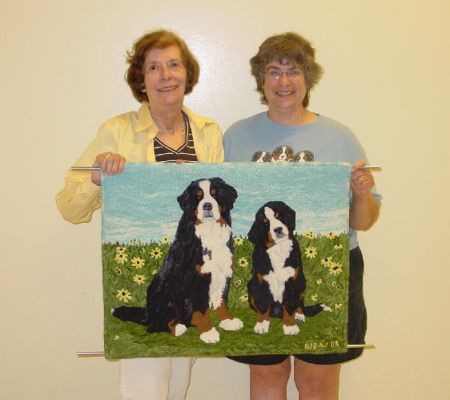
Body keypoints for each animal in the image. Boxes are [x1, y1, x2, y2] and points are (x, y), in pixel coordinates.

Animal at [114, 178, 244, 344]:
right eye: (198, 197)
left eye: (215, 194)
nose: (207, 205)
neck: (209, 231)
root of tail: (148, 313)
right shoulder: (197, 277)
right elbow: (201, 308)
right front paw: (208, 332)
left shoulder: (224, 271)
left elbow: (222, 301)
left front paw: (228, 321)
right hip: (164, 296)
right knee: (157, 324)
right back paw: (177, 327)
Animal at [246, 200, 330, 334]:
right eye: (266, 223)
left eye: (279, 216)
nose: (277, 229)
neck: (278, 248)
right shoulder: (260, 282)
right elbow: (263, 306)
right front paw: (262, 325)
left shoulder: (292, 281)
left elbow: (290, 306)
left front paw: (290, 326)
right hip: (250, 286)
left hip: (302, 282)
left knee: (299, 304)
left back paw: (299, 315)